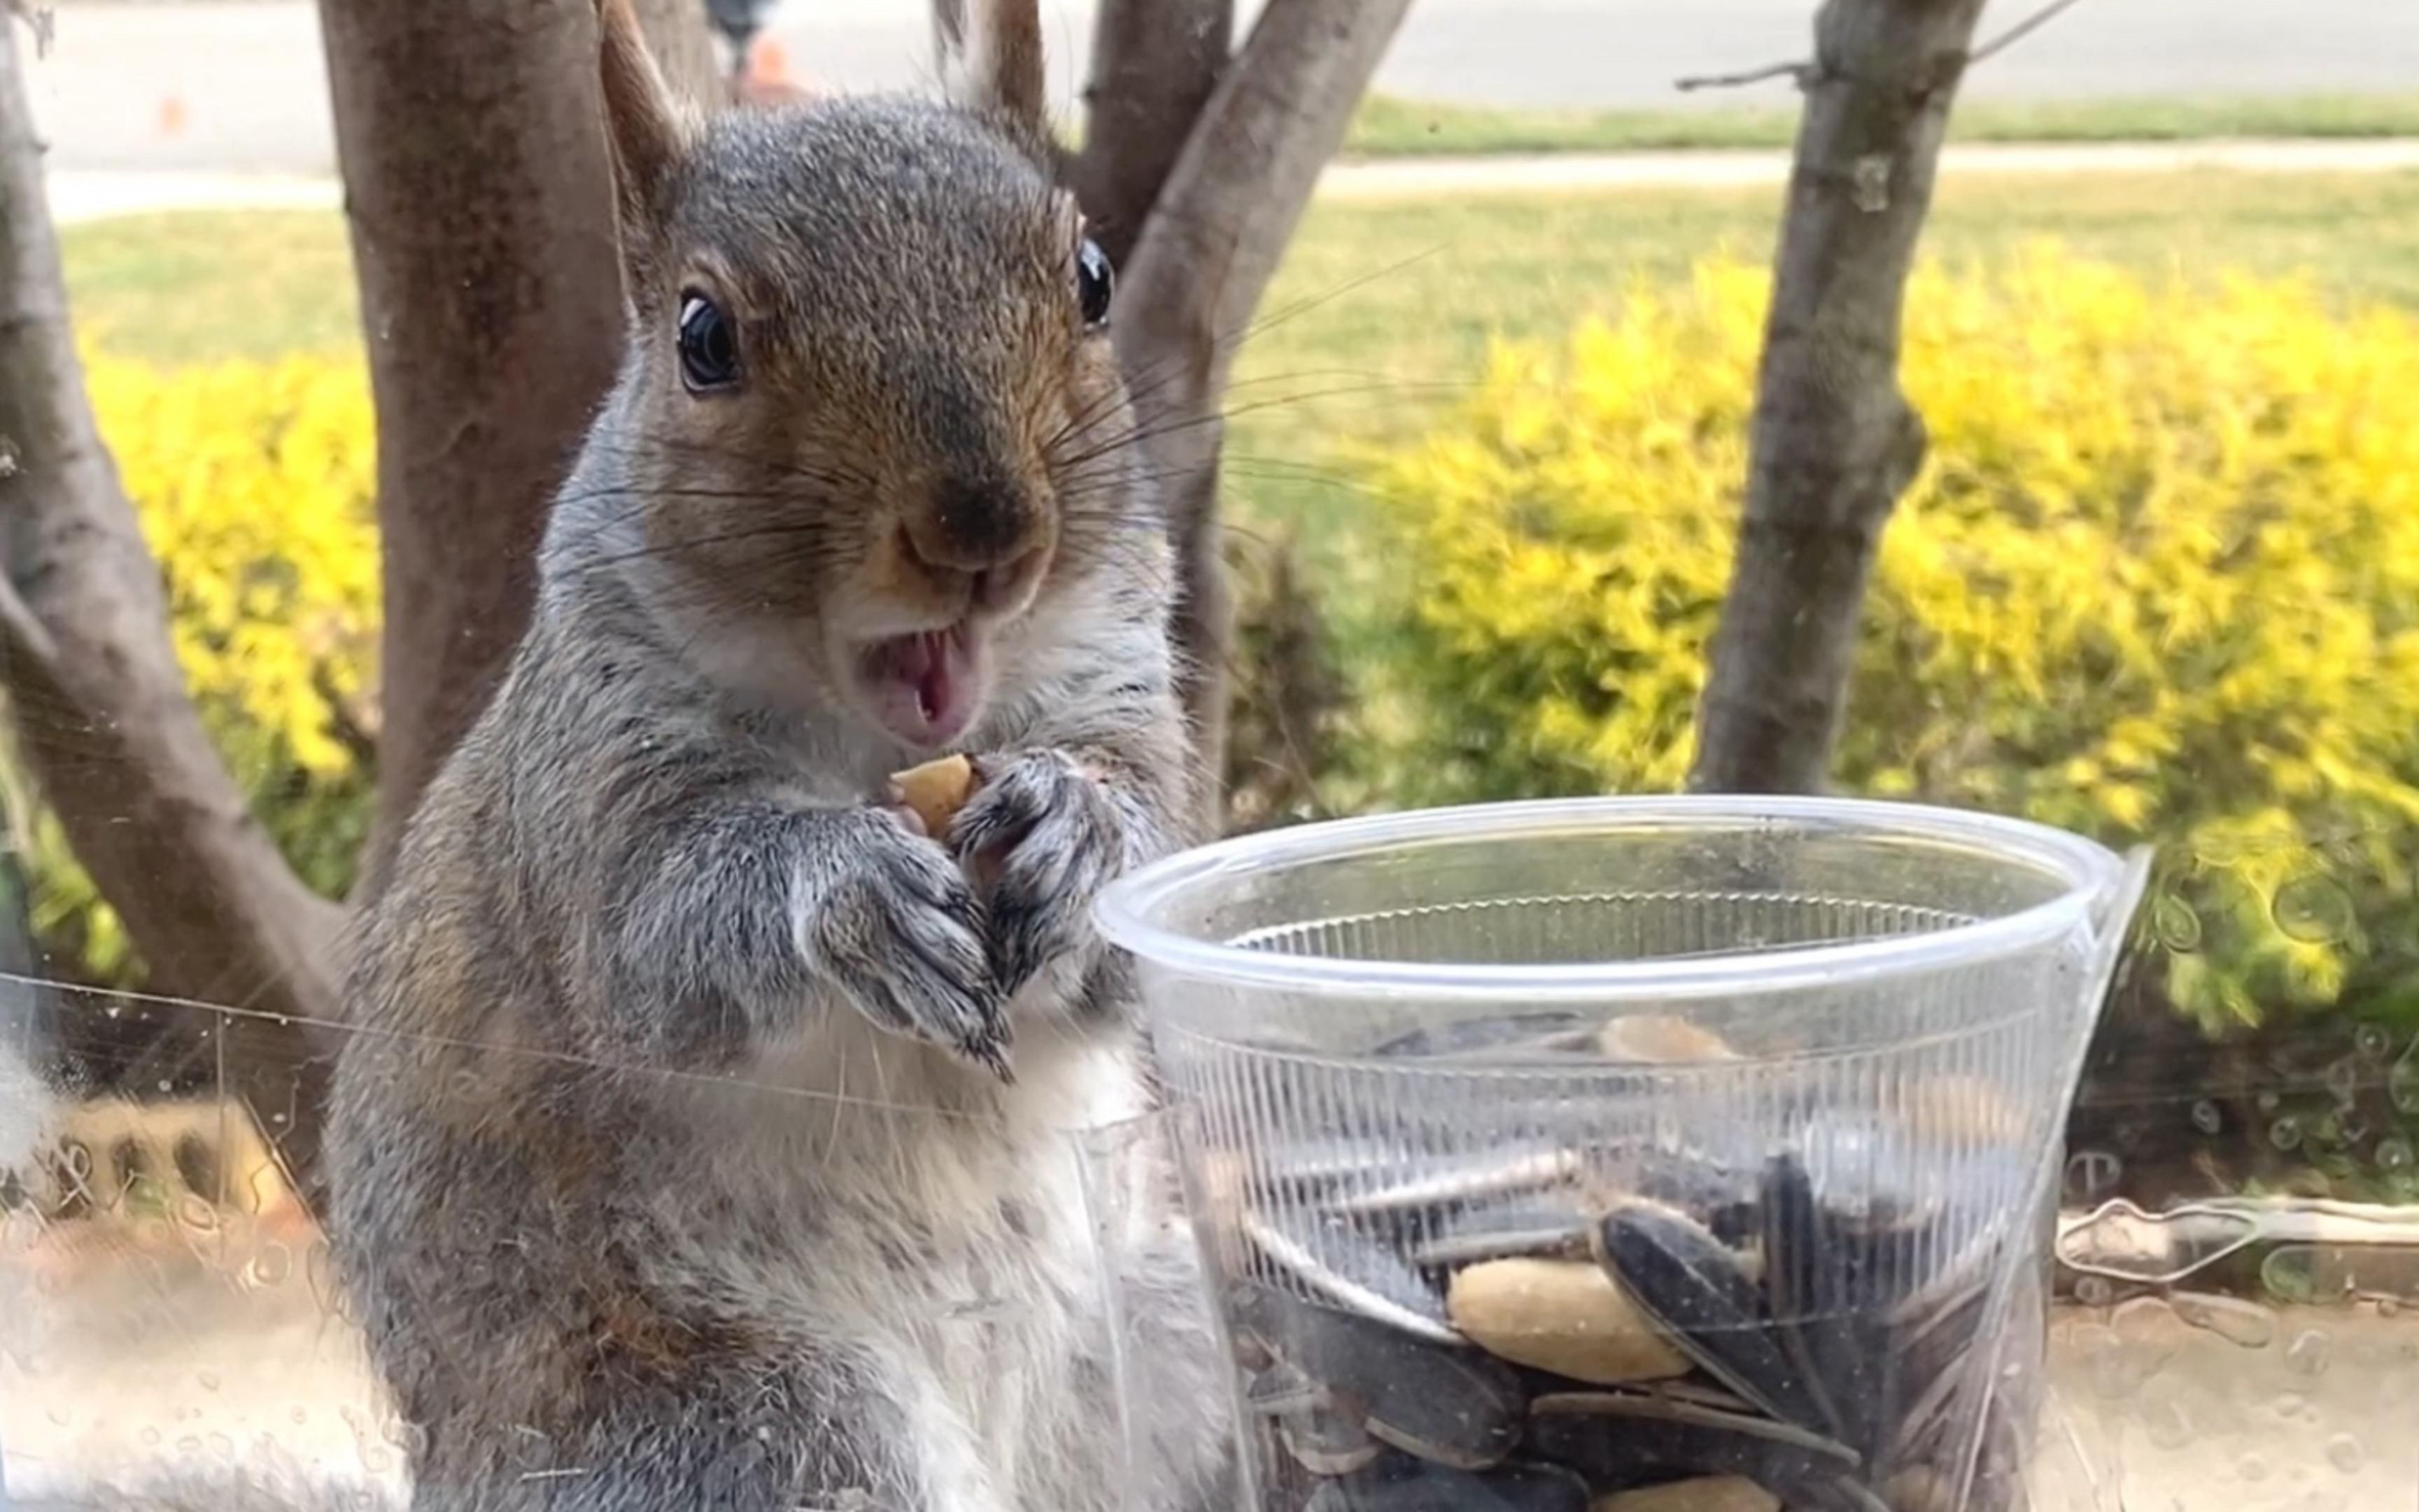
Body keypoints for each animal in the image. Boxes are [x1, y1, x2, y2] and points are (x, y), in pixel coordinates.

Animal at [316, 3, 1229, 1509]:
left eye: (1092, 280)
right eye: (703, 337)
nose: (982, 531)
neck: (878, 742)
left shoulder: (1120, 675)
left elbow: (1141, 888)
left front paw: (1080, 829)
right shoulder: (595, 773)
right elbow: (651, 938)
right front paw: (847, 890)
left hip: (1163, 1337)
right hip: (762, 1431)